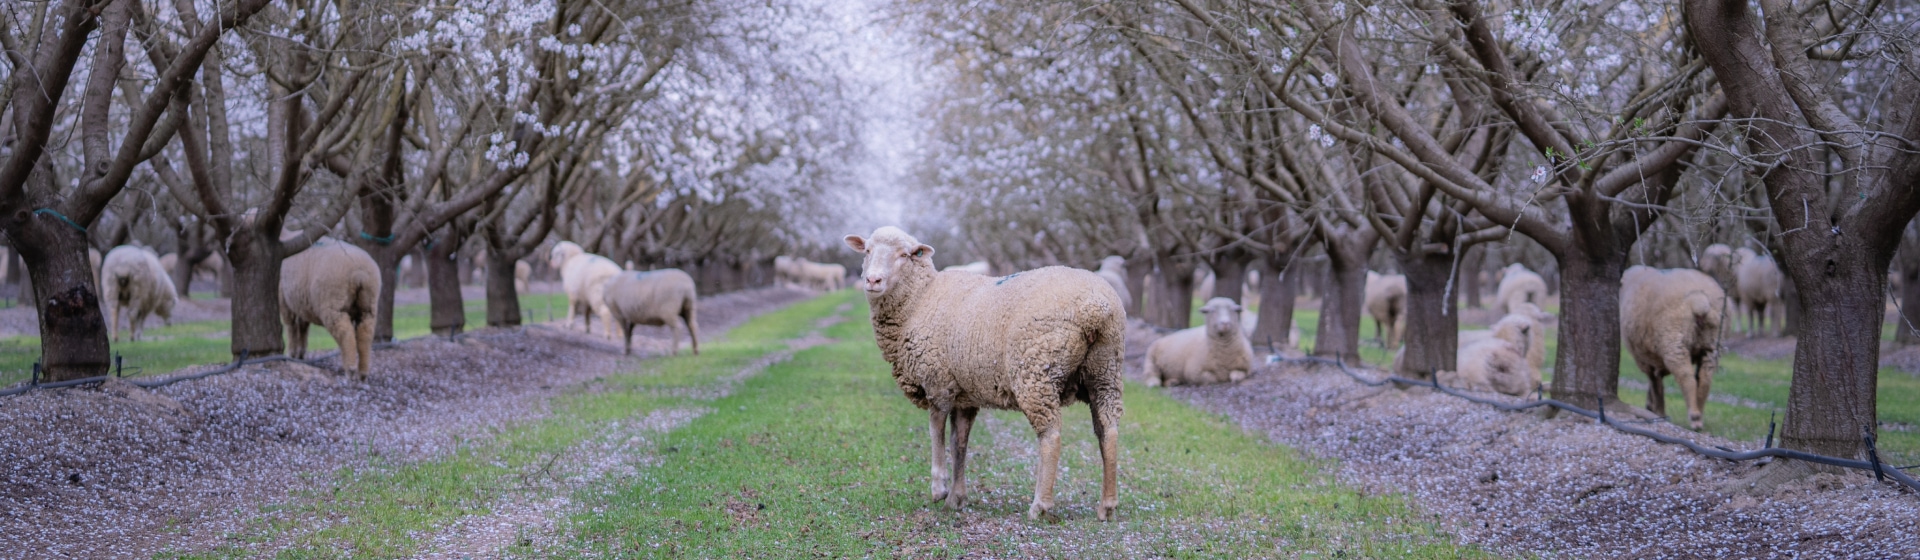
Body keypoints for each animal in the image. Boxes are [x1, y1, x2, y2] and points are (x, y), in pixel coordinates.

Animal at [280, 238, 380, 377]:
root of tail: (359, 274)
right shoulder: (302, 303)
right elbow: (303, 326)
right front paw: (300, 353)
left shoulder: (284, 298)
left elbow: (291, 327)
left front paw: (292, 354)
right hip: (368, 306)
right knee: (365, 333)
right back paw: (362, 373)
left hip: (333, 306)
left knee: (345, 334)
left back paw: (350, 370)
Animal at [844, 226, 1121, 521]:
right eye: (867, 251)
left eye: (904, 255)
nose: (873, 280)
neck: (919, 300)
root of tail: (1095, 307)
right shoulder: (965, 395)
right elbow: (960, 443)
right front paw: (956, 498)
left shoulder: (937, 380)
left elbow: (936, 431)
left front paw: (939, 488)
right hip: (1106, 371)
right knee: (1108, 430)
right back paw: (1107, 505)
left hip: (1036, 373)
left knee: (1051, 436)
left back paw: (1040, 505)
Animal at [1620, 264, 1728, 431]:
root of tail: (1699, 301)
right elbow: (1656, 381)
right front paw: (1652, 406)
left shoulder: (1644, 357)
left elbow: (1655, 382)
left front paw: (1657, 410)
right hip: (1712, 345)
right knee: (1704, 378)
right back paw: (1699, 413)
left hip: (1674, 342)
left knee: (1686, 377)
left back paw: (1694, 417)